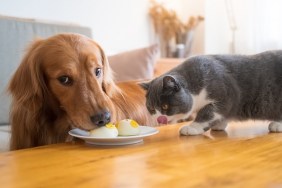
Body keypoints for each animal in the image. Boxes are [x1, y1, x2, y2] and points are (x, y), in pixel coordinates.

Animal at [141, 50, 282, 135]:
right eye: (151, 109)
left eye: (165, 106)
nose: (159, 119)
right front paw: (220, 124)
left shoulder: (226, 95)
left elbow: (207, 112)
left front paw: (192, 127)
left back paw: (277, 125)